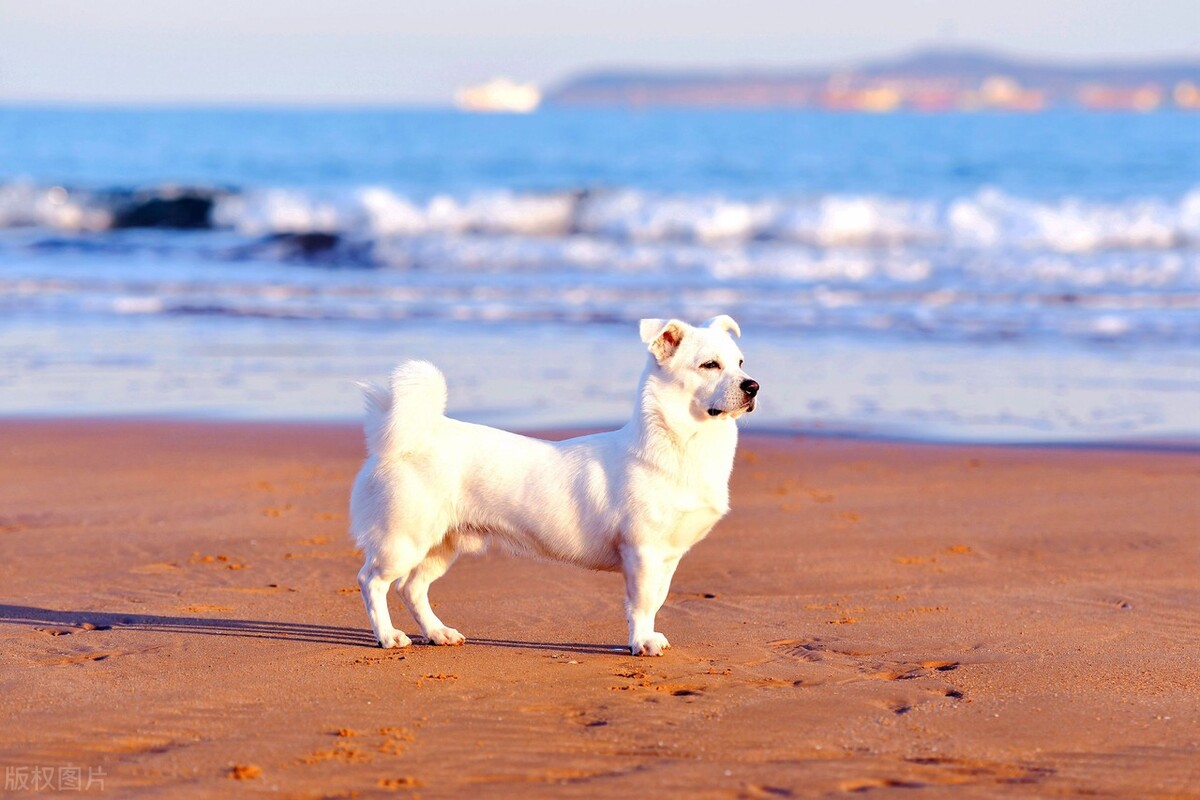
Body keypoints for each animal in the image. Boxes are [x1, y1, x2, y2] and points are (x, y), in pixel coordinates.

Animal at [348, 314, 758, 657]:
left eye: (740, 363)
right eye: (709, 365)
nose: (753, 386)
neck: (685, 444)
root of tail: (407, 438)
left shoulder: (668, 557)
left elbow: (656, 599)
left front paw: (647, 636)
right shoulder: (642, 552)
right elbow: (641, 603)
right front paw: (642, 642)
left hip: (441, 545)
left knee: (411, 588)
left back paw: (437, 633)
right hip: (403, 541)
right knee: (371, 581)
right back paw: (387, 636)